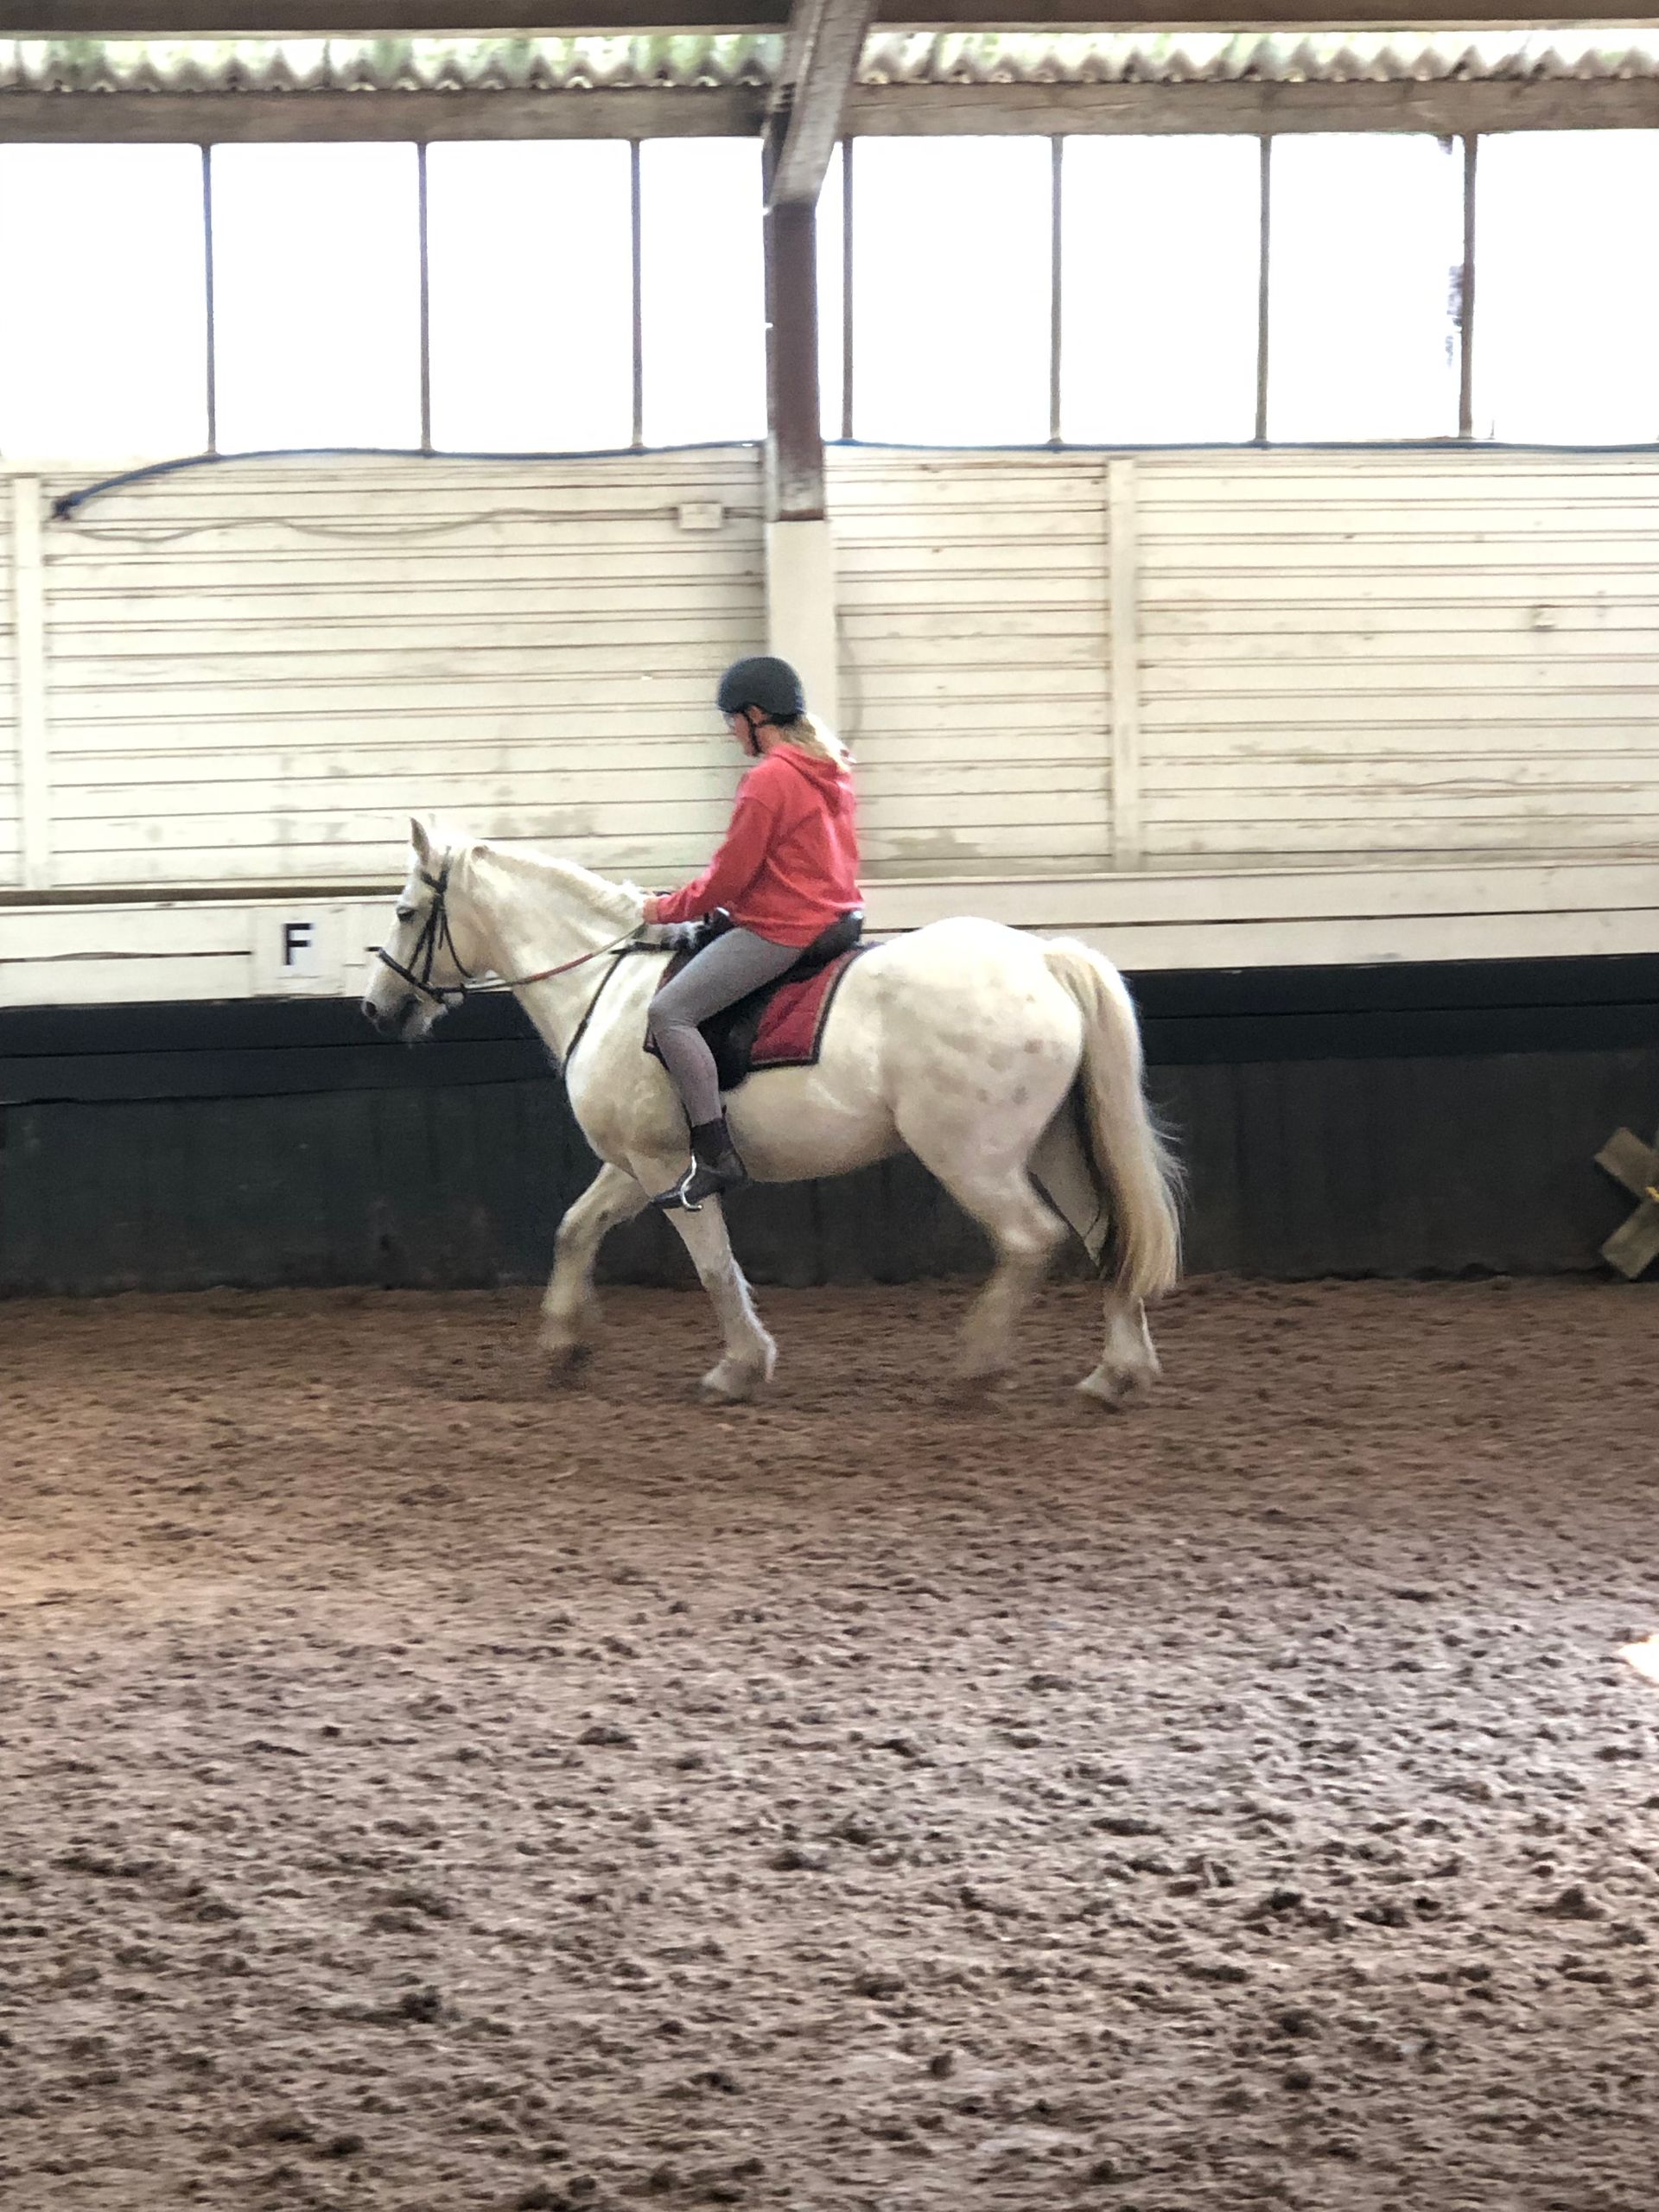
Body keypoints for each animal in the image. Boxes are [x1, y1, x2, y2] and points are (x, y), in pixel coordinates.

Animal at [362, 817, 1181, 1405]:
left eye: (405, 912)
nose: (377, 1010)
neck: (607, 985)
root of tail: (1041, 960)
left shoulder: (667, 1167)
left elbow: (714, 1264)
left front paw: (740, 1369)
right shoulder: (637, 1165)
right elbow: (575, 1229)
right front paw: (565, 1347)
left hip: (970, 1157)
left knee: (1030, 1239)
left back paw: (977, 1367)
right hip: (1053, 1143)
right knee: (1104, 1234)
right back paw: (1116, 1374)